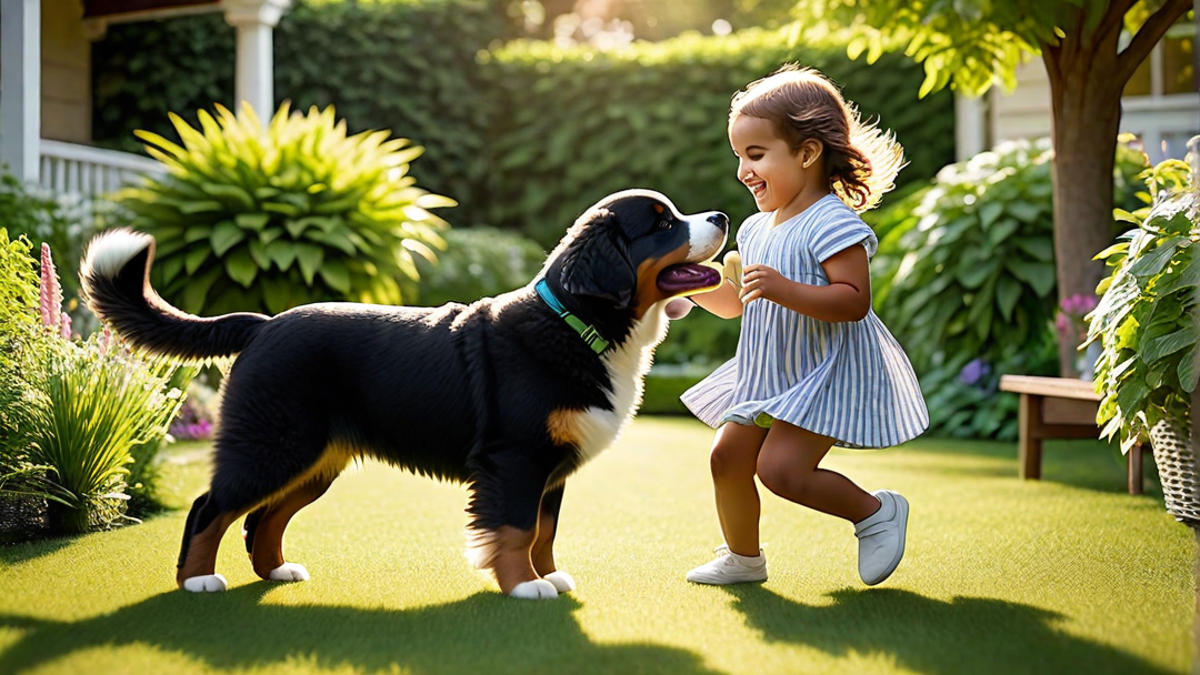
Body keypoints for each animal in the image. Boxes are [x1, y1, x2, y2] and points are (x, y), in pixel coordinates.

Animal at [82, 186, 729, 595]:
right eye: (663, 224)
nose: (721, 216)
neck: (576, 324)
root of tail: (265, 323)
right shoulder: (516, 458)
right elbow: (517, 530)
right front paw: (524, 587)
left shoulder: (549, 467)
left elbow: (543, 531)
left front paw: (547, 575)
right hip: (275, 443)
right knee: (211, 507)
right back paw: (196, 579)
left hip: (316, 459)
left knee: (264, 518)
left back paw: (276, 572)